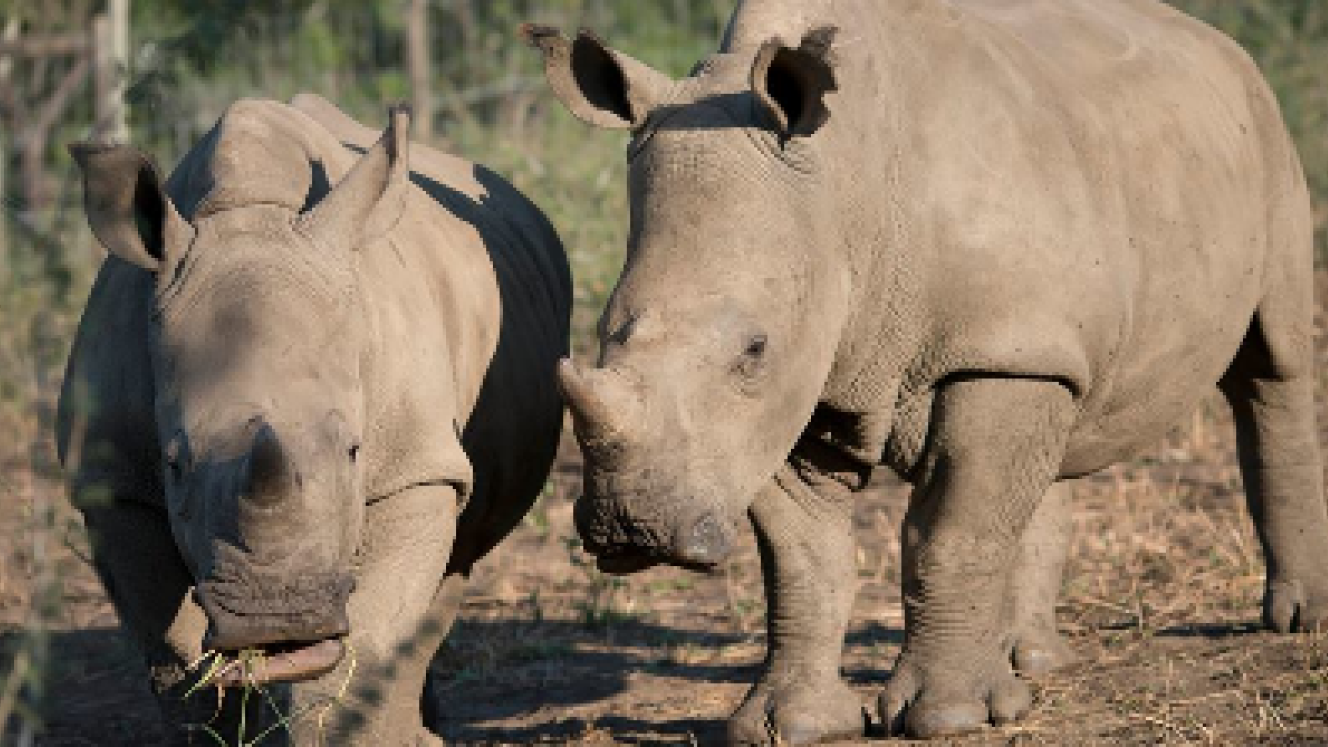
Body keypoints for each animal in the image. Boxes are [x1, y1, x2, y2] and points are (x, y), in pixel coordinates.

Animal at [56, 95, 569, 744]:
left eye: (354, 451)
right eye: (173, 464)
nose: (277, 623)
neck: (248, 212)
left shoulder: (414, 467)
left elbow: (369, 645)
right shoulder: (116, 485)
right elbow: (174, 658)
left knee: (452, 566)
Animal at [526, 0, 1328, 741]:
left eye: (752, 350)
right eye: (604, 333)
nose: (631, 527)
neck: (843, 188)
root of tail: (1218, 44)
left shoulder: (975, 354)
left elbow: (953, 533)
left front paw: (949, 717)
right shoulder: (808, 379)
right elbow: (804, 557)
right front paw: (795, 725)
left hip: (1265, 140)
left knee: (1272, 368)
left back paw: (1296, 620)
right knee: (1057, 423)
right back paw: (1027, 664)